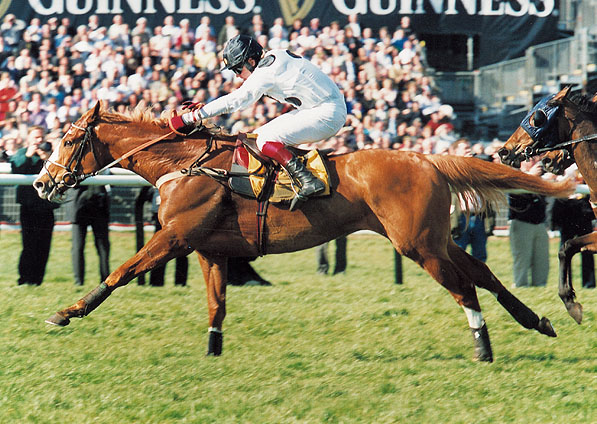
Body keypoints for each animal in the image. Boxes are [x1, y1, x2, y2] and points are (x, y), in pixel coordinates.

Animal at [33, 102, 572, 362]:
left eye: (68, 139)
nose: (41, 182)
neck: (185, 164)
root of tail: (427, 158)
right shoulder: (208, 248)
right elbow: (216, 304)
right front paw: (213, 349)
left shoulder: (175, 238)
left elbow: (121, 272)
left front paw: (67, 312)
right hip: (434, 240)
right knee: (482, 272)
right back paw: (536, 321)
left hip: (418, 246)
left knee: (464, 287)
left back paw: (484, 347)